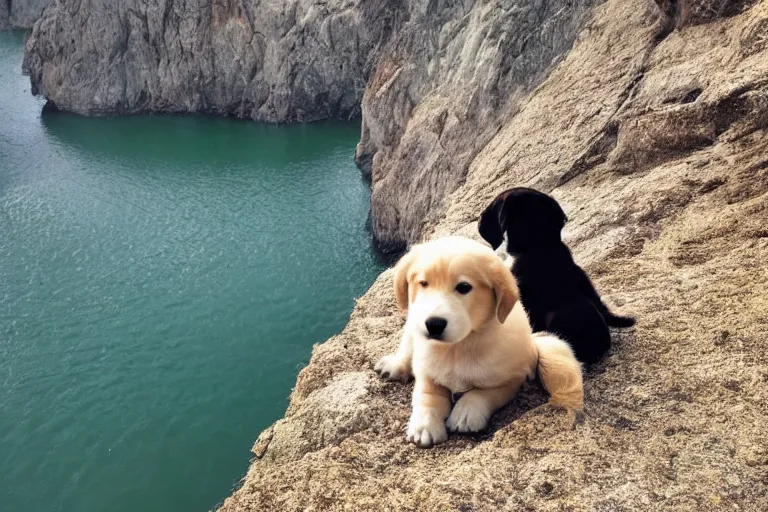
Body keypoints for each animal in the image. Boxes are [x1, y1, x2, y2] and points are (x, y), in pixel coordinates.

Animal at [374, 238, 584, 446]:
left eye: (464, 287)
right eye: (423, 283)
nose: (433, 324)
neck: (458, 347)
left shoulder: (512, 380)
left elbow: (482, 393)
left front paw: (466, 413)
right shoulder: (426, 367)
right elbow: (427, 395)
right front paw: (425, 425)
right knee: (408, 340)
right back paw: (395, 364)